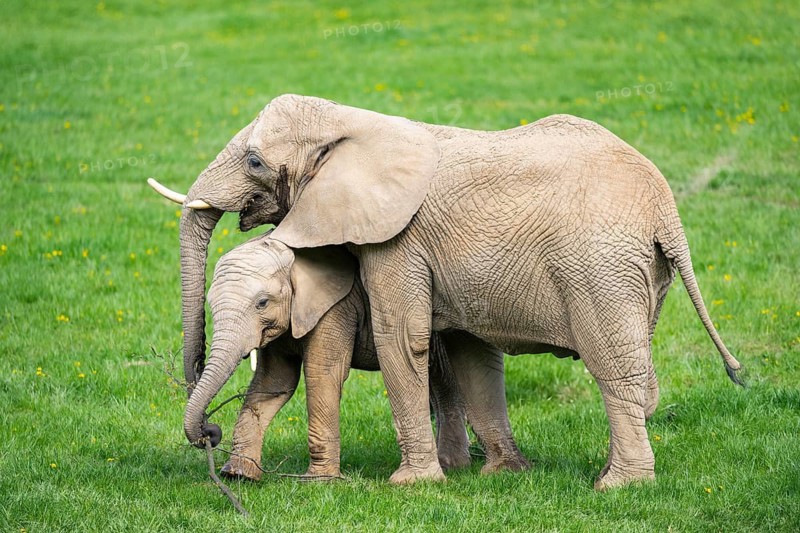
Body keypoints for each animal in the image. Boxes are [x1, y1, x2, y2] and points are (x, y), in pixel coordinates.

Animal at [181, 231, 529, 480]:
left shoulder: (336, 307)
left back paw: (451, 465)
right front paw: (238, 476)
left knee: (442, 377)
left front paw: (319, 482)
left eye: (262, 303)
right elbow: (273, 384)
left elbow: (322, 373)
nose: (210, 432)